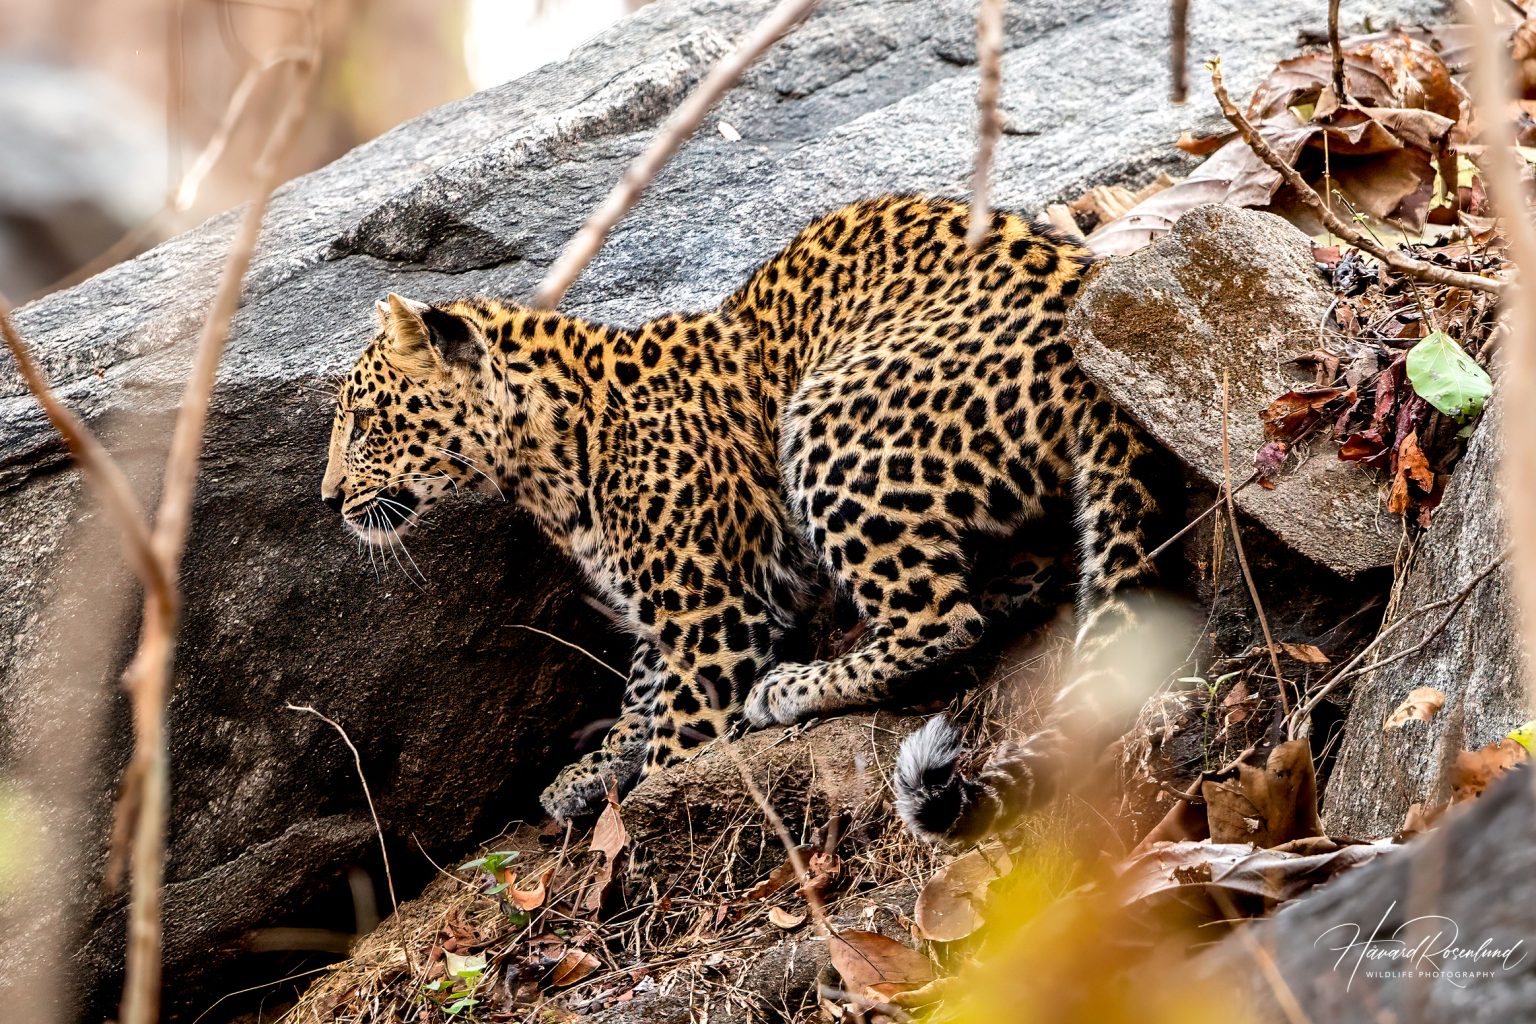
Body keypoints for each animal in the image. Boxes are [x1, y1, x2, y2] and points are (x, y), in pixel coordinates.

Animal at [320, 194, 1172, 836]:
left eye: (362, 423)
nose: (328, 500)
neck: (546, 455)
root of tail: (1087, 310)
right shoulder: (671, 613)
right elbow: (639, 691)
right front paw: (590, 771)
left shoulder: (716, 616)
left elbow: (677, 731)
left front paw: (642, 804)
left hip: (830, 416)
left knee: (940, 620)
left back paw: (793, 686)